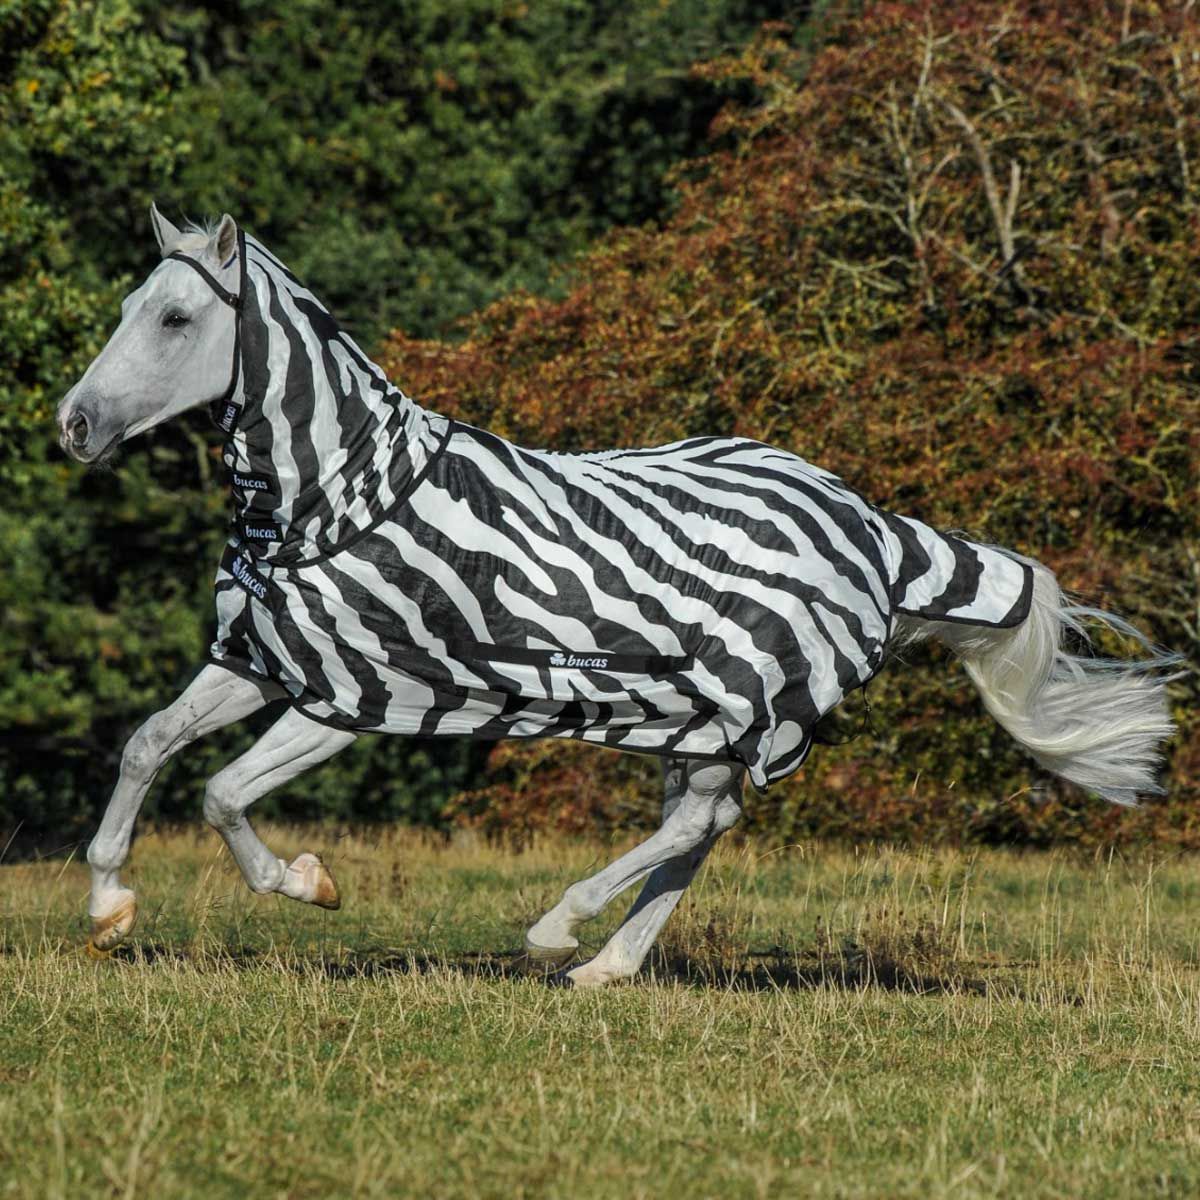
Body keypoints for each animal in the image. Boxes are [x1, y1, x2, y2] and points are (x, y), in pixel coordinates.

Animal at [55, 207, 1178, 986]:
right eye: (126, 309)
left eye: (176, 317)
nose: (74, 425)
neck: (335, 496)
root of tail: (872, 526)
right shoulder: (258, 663)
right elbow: (149, 748)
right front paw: (109, 906)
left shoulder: (355, 694)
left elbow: (220, 792)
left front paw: (307, 883)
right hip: (701, 715)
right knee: (706, 824)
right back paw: (607, 965)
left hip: (744, 702)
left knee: (697, 823)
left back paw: (559, 931)